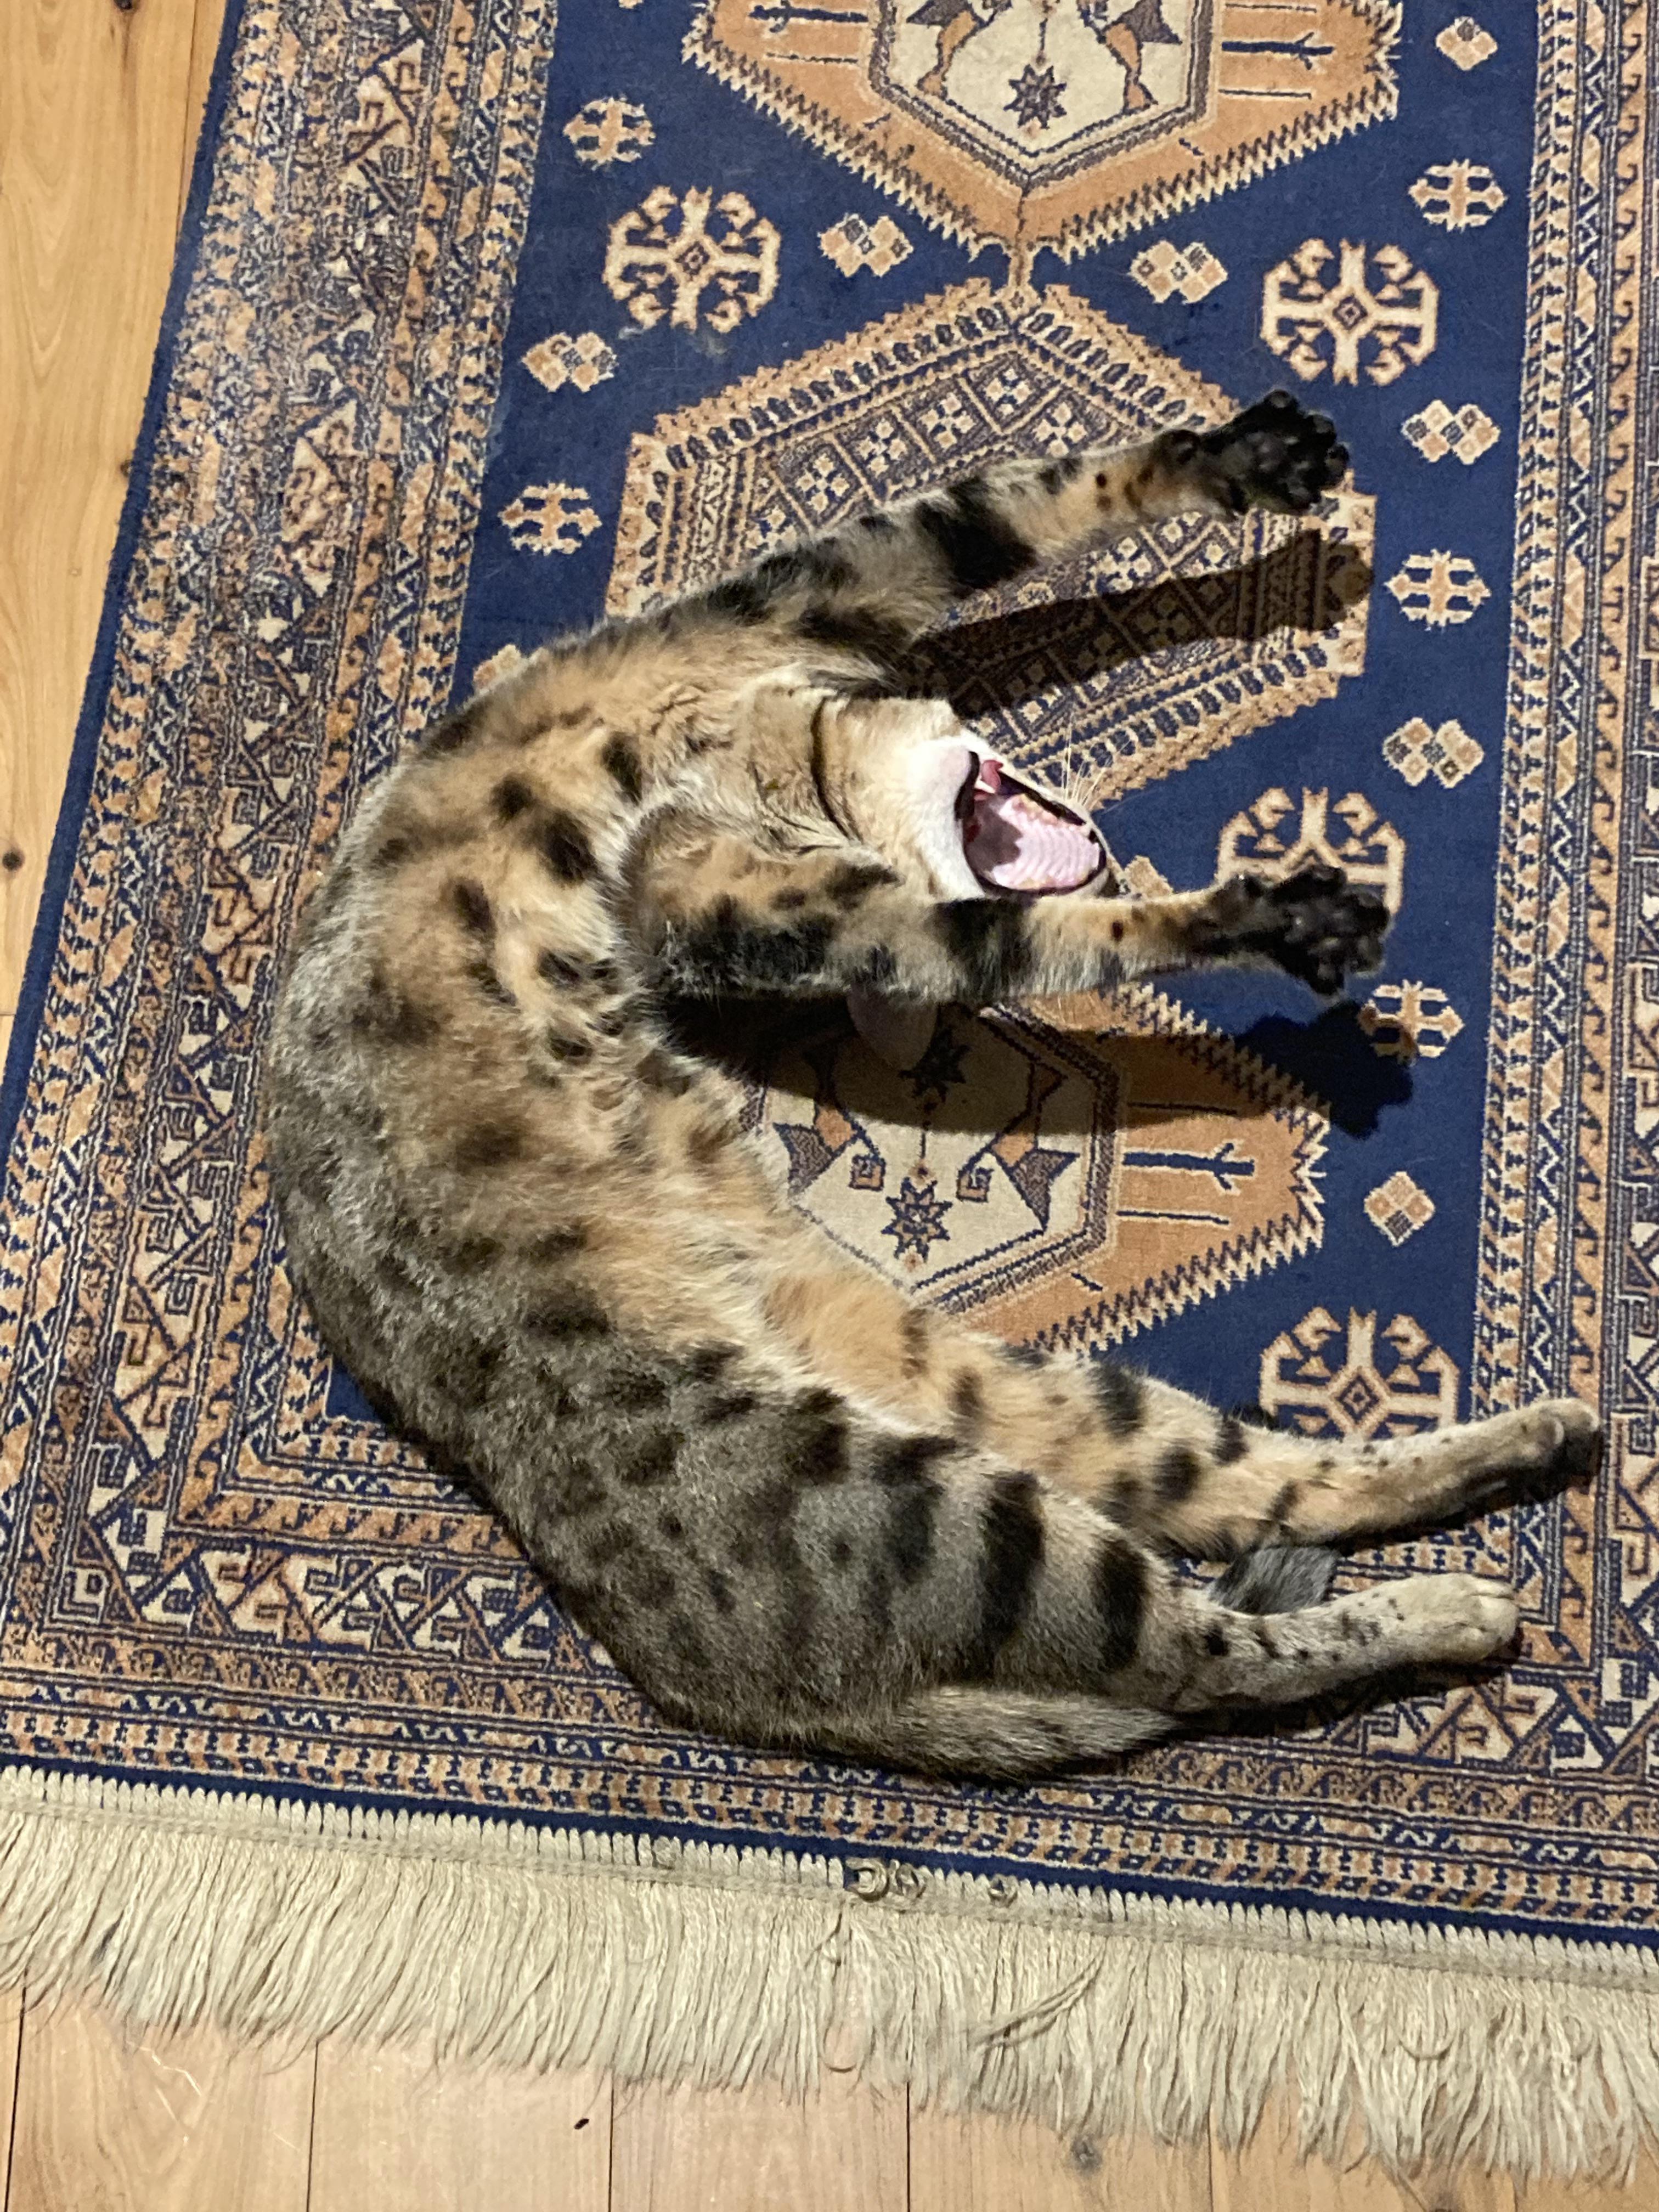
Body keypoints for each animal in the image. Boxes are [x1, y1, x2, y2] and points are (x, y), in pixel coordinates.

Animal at [266, 391, 1598, 1779]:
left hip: (1003, 1395)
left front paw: (1245, 461)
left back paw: (1537, 1442)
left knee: (1257, 1493)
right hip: (953, 1517)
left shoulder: (788, 850)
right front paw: (1263, 915)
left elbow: (1033, 510)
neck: (765, 758)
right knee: (1206, 1659)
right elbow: (1020, 573)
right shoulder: (809, 641)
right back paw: (1459, 1605)